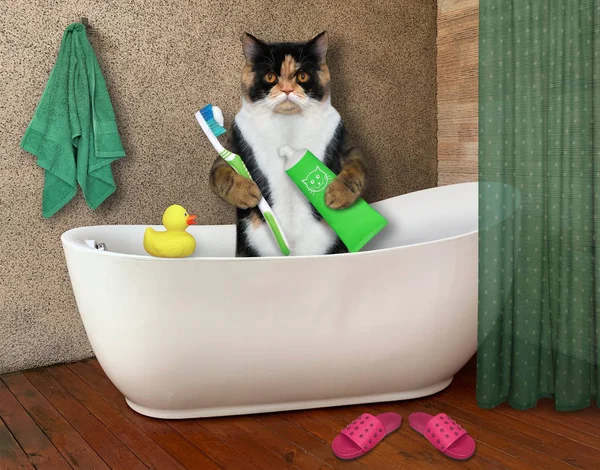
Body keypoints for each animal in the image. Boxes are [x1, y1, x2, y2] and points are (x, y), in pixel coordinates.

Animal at [209, 31, 368, 258]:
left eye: (302, 76)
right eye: (270, 76)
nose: (287, 89)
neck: (288, 126)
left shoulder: (347, 145)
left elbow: (356, 170)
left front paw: (336, 195)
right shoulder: (231, 147)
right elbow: (221, 175)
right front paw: (248, 194)